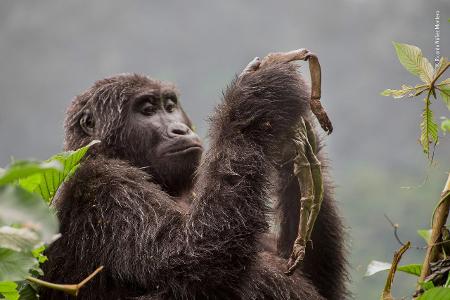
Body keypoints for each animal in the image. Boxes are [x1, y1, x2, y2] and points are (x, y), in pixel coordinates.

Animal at [40, 51, 346, 300]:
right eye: (147, 110)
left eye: (170, 106)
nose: (180, 129)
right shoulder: (103, 185)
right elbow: (190, 261)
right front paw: (258, 98)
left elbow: (309, 276)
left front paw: (292, 142)